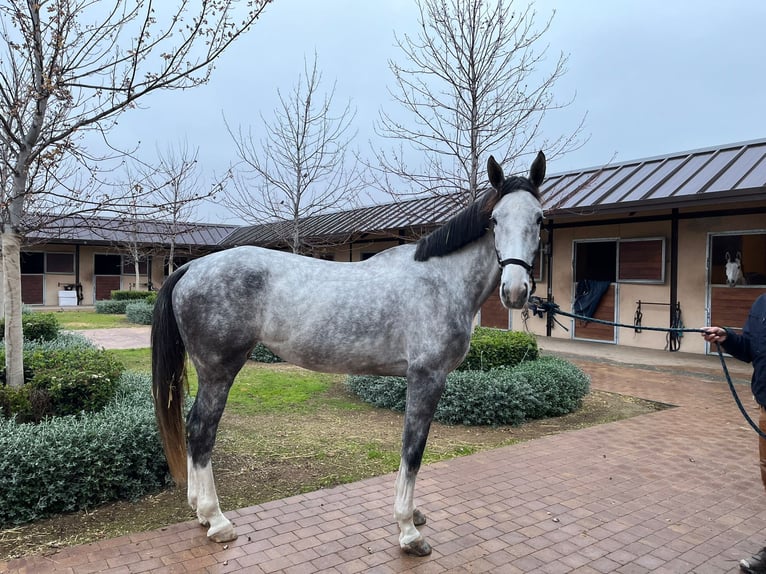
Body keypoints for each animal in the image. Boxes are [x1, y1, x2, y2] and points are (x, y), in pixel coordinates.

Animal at [152, 151, 544, 556]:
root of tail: (192, 266)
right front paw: (408, 531)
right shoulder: (427, 377)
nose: (516, 291)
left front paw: (413, 516)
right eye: (495, 219)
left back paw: (200, 512)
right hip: (219, 371)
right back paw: (216, 520)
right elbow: (413, 448)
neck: (441, 280)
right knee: (201, 430)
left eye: (539, 218)